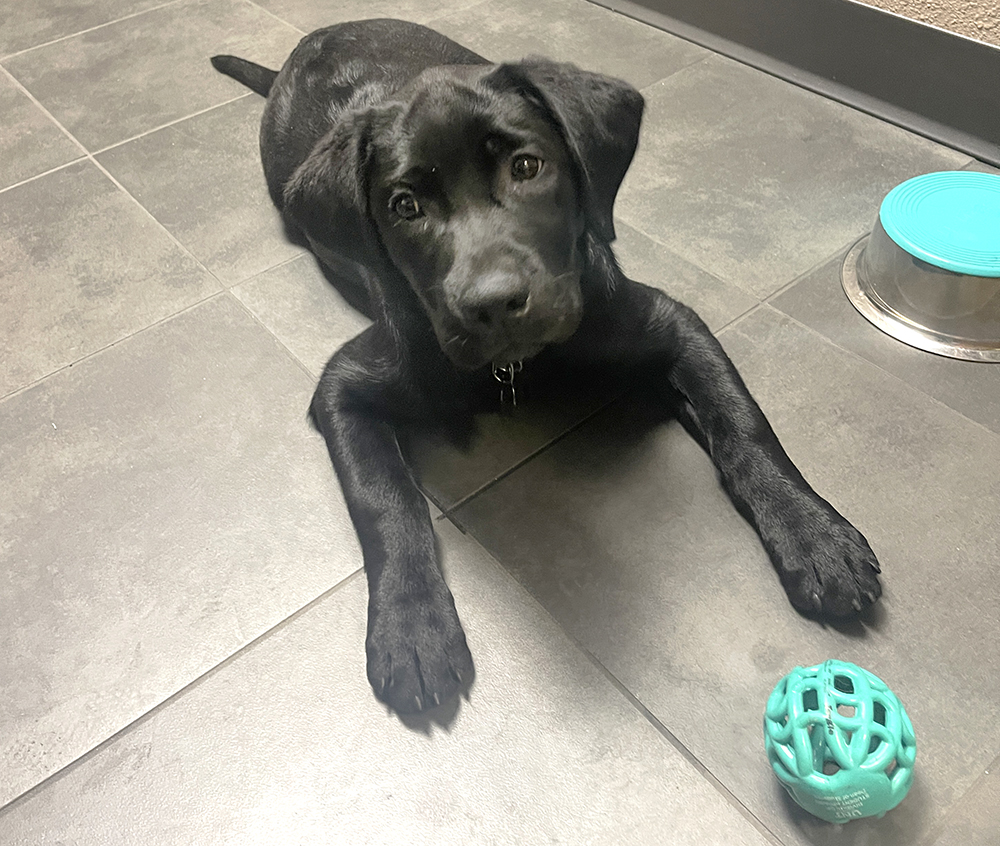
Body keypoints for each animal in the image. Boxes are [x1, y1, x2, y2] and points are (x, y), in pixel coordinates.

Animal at [209, 19, 876, 716]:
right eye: (404, 206)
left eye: (527, 167)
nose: (494, 303)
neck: (516, 365)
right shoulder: (343, 386)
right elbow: (385, 502)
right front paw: (412, 627)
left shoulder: (673, 324)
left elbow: (744, 426)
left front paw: (814, 536)